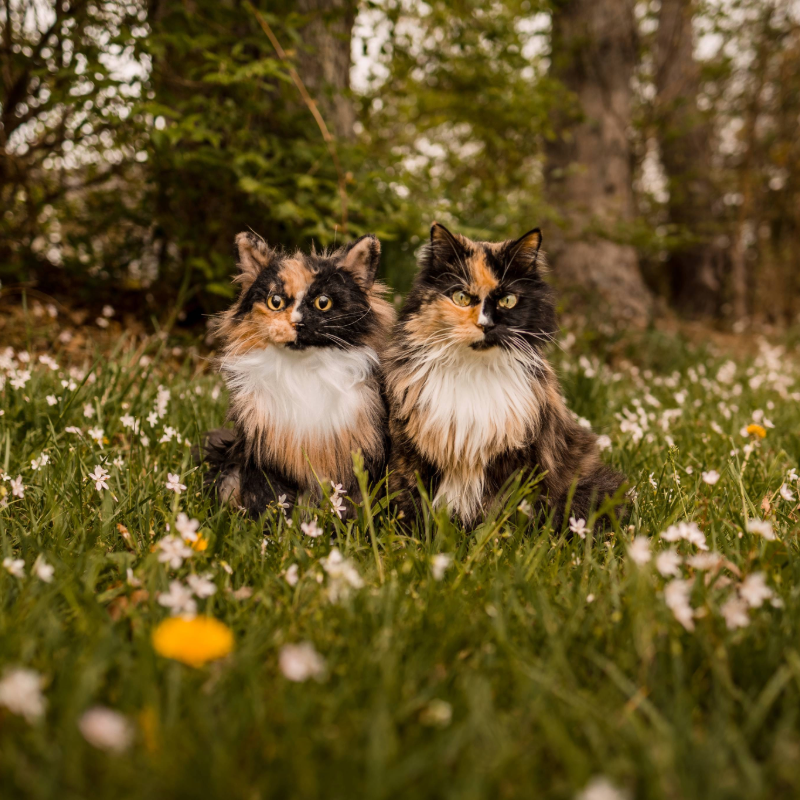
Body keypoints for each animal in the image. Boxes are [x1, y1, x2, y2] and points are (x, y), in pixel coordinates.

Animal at [205, 231, 396, 520]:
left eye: (323, 303)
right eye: (275, 302)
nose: (295, 323)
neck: (303, 369)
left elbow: (350, 506)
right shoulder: (263, 452)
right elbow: (267, 500)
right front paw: (267, 529)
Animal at [382, 222, 624, 528]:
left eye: (508, 300)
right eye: (461, 297)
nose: (486, 324)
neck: (472, 372)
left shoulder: (516, 460)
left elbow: (500, 514)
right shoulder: (410, 452)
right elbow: (411, 506)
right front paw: (413, 535)